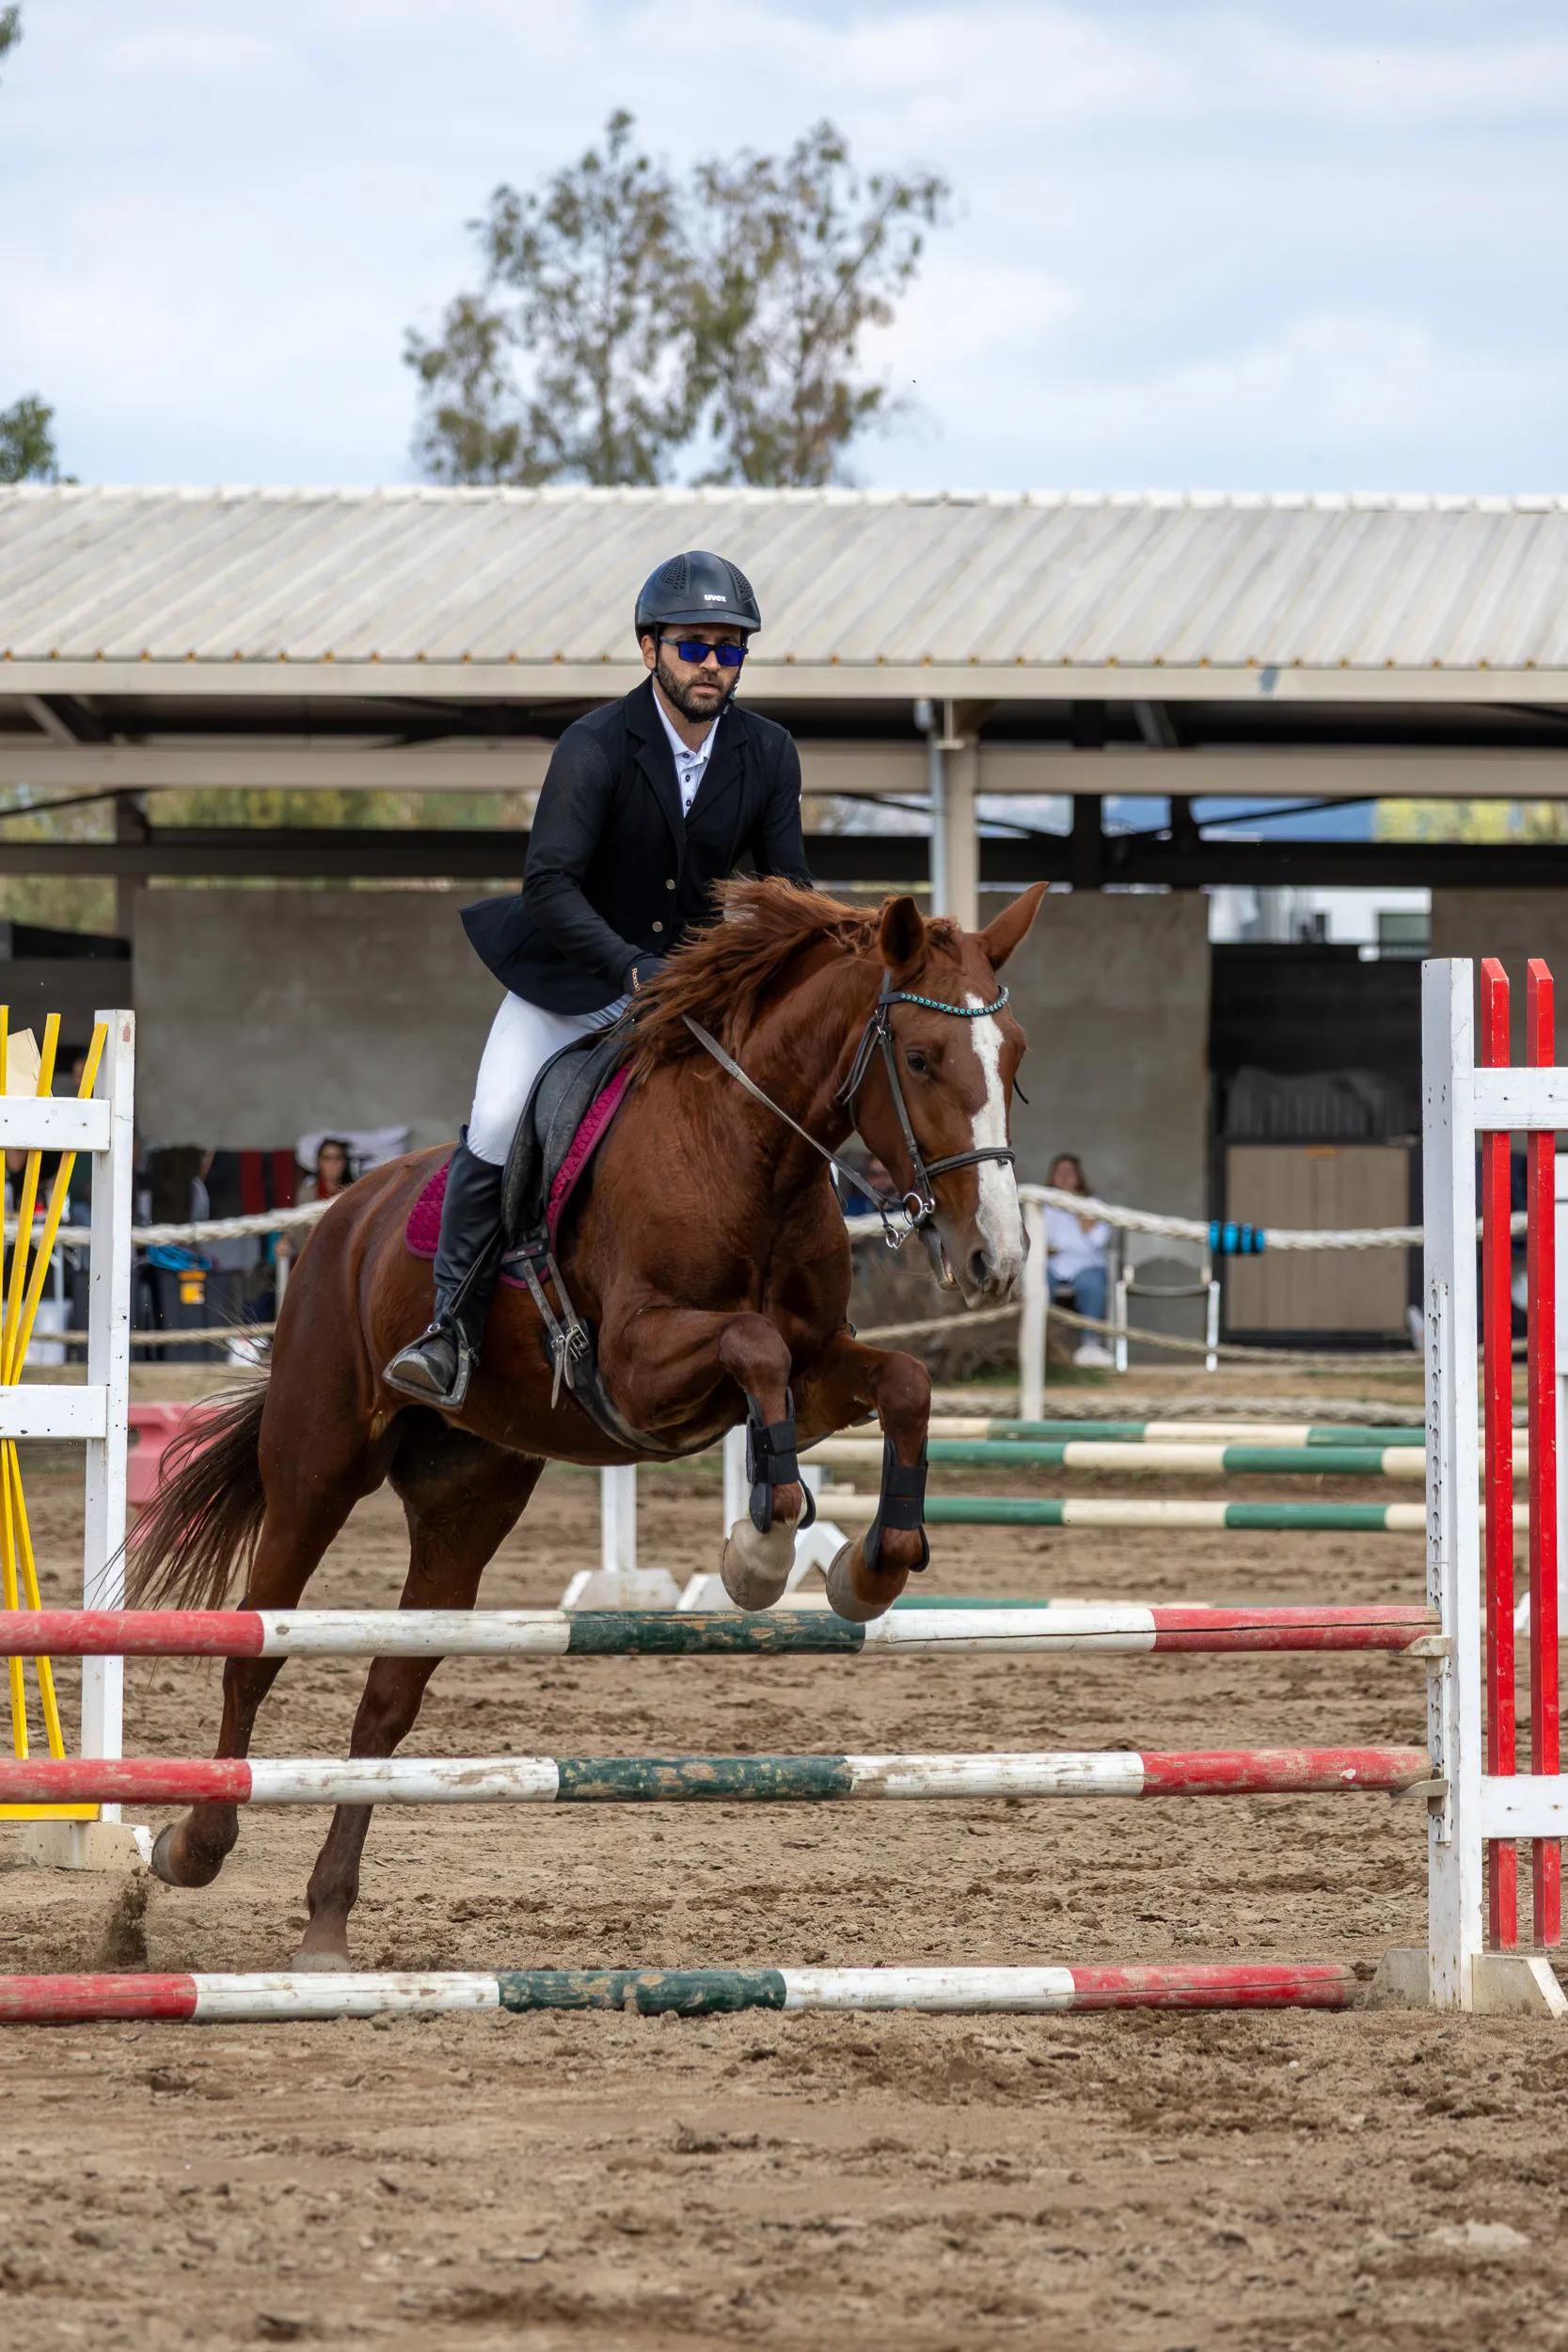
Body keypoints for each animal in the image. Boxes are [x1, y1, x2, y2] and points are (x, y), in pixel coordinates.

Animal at [128, 877, 1046, 1966]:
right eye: (918, 1057)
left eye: (1015, 1056)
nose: (993, 1257)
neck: (753, 1150)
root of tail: (343, 1217)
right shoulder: (637, 1365)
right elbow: (754, 1351)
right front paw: (759, 1551)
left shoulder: (822, 1369)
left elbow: (896, 1381)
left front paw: (869, 1566)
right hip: (317, 1468)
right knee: (257, 1647)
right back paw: (193, 1845)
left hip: (466, 1499)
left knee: (389, 1694)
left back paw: (326, 1920)